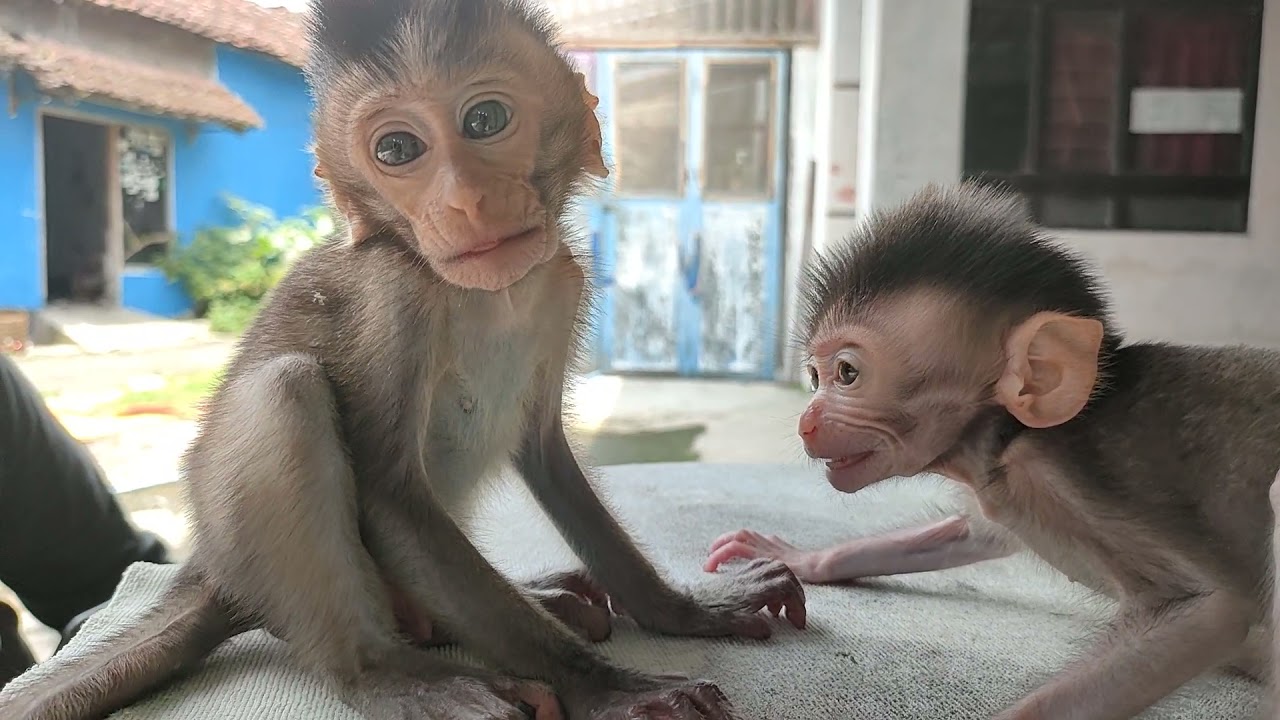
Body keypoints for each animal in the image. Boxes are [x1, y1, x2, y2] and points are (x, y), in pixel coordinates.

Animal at [0, 1, 808, 718]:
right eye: (397, 152)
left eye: (484, 120)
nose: (467, 201)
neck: (493, 295)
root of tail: (211, 568)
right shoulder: (396, 292)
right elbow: (389, 490)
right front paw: (610, 689)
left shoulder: (561, 281)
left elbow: (546, 452)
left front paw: (685, 609)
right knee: (286, 392)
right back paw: (389, 674)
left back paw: (533, 601)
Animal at [703, 181, 1280, 719]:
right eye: (815, 378)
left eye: (846, 374)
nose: (806, 421)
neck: (1011, 437)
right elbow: (974, 533)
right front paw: (803, 558)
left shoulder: (1058, 474)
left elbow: (1209, 607)